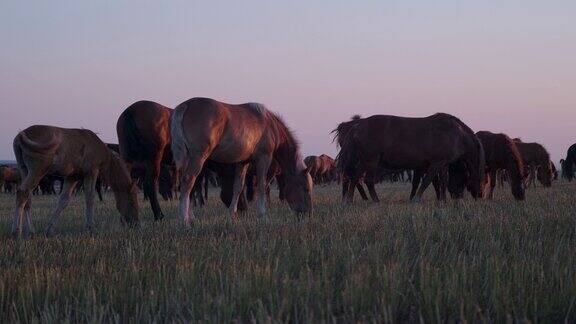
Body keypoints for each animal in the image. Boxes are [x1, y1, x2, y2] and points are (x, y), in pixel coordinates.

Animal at [12, 125, 140, 237]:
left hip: (24, 170)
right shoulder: (91, 172)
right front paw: (90, 228)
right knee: (23, 193)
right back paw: (16, 231)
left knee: (27, 198)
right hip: (37, 170)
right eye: (132, 202)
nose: (135, 223)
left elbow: (63, 201)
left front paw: (49, 229)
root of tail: (19, 137)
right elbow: (90, 198)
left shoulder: (72, 177)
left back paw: (31, 231)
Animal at [170, 97, 312, 227]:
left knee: (188, 187)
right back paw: (185, 220)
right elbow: (262, 186)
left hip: (187, 160)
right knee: (188, 182)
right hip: (198, 158)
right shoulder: (263, 159)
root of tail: (187, 105)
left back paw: (191, 217)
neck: (269, 124)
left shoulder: (243, 162)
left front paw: (232, 215)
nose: (308, 215)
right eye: (306, 188)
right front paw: (263, 215)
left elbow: (238, 187)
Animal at [332, 113, 486, 202]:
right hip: (371, 161)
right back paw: (375, 201)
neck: (456, 134)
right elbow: (427, 181)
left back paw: (350, 200)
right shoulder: (436, 163)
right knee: (368, 180)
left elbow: (442, 182)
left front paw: (442, 201)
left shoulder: (443, 164)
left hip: (364, 161)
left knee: (354, 178)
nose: (479, 195)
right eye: (482, 180)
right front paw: (416, 199)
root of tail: (357, 126)